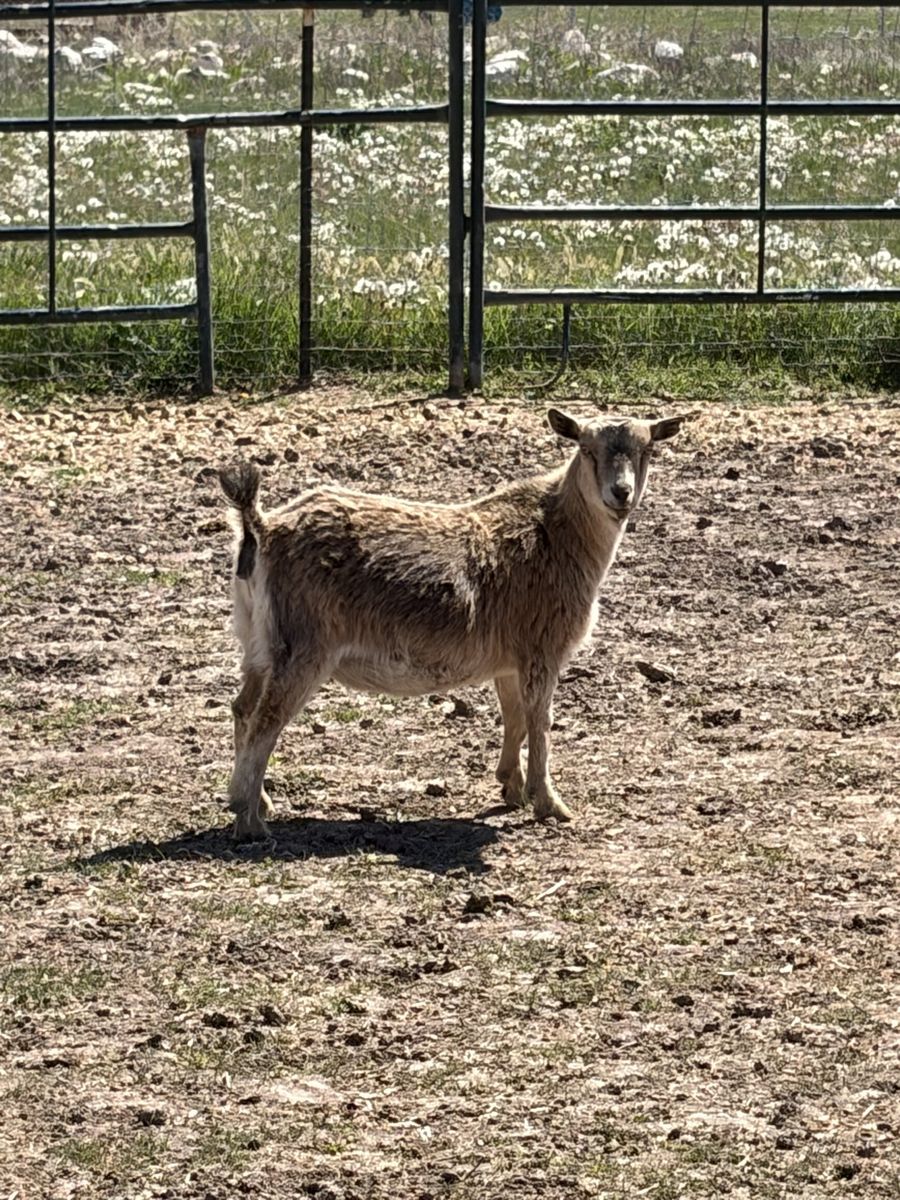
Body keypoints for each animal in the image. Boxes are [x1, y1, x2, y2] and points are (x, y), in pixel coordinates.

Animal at [219, 408, 690, 841]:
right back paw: (249, 820)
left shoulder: (509, 660)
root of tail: (261, 529)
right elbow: (540, 719)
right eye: (587, 449)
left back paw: (257, 800)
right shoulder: (543, 646)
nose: (620, 492)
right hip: (303, 644)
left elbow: (515, 717)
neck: (556, 535)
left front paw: (511, 787)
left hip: (259, 642)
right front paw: (550, 803)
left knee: (243, 707)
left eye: (647, 449)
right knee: (266, 719)